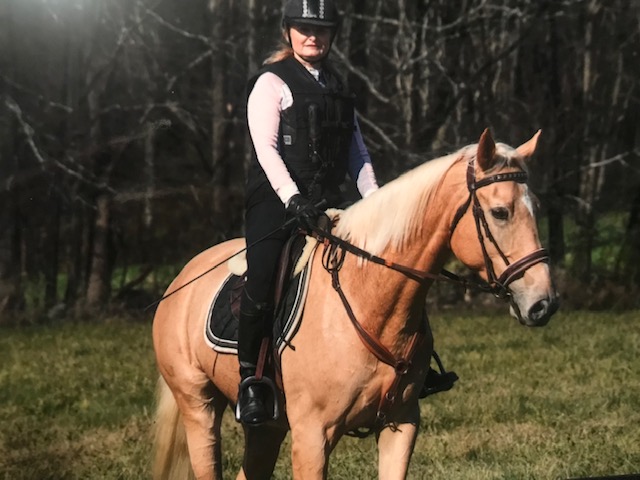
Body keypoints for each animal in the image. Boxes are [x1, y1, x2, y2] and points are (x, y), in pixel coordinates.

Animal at [152, 129, 556, 478]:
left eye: (536, 207)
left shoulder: (400, 425)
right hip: (199, 407)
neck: (370, 299)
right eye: (500, 212)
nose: (544, 303)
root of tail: (183, 278)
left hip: (268, 426)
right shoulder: (312, 437)